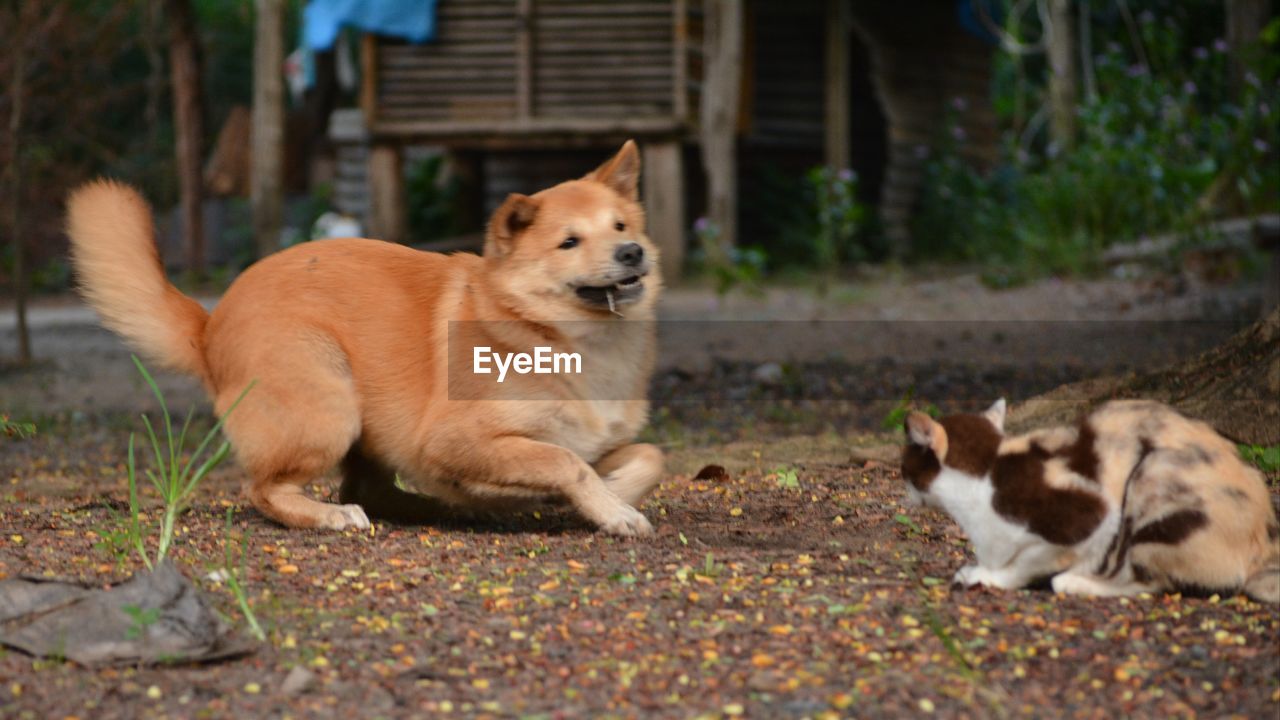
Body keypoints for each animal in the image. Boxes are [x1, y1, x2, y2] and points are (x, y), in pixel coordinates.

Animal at [64, 140, 665, 532]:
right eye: (569, 242)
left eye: (621, 226)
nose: (631, 252)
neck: (561, 335)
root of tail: (210, 323)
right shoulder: (456, 440)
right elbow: (564, 463)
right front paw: (611, 510)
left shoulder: (593, 440)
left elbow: (647, 455)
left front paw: (613, 496)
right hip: (331, 406)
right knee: (268, 490)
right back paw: (330, 517)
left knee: (371, 490)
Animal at [901, 397, 1280, 599]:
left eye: (905, 464)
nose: (905, 487)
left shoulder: (1091, 516)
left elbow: (1028, 561)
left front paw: (988, 576)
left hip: (1152, 482)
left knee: (1147, 581)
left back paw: (1076, 582)